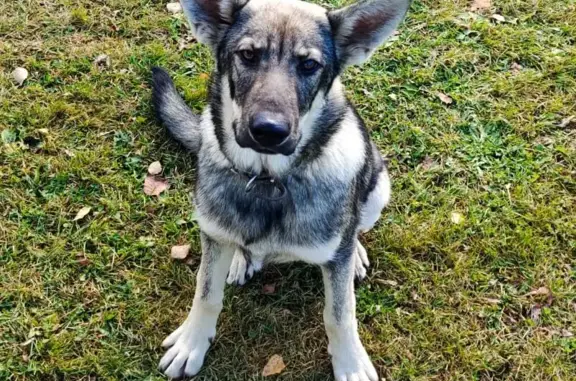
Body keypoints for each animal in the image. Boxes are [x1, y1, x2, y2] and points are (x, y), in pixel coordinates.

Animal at [152, 0, 410, 378]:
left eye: (309, 65)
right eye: (247, 55)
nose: (269, 131)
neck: (267, 180)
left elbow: (339, 314)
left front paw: (349, 362)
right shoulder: (212, 235)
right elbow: (206, 293)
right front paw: (192, 342)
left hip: (378, 187)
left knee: (355, 229)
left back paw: (355, 254)